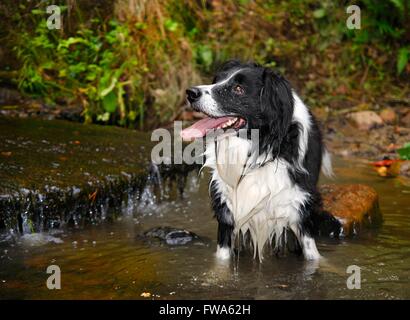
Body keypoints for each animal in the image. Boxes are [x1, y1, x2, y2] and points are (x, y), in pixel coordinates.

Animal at [181, 60, 334, 260]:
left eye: (238, 89)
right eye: (217, 80)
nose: (191, 93)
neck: (259, 149)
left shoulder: (299, 208)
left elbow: (312, 255)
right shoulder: (227, 212)